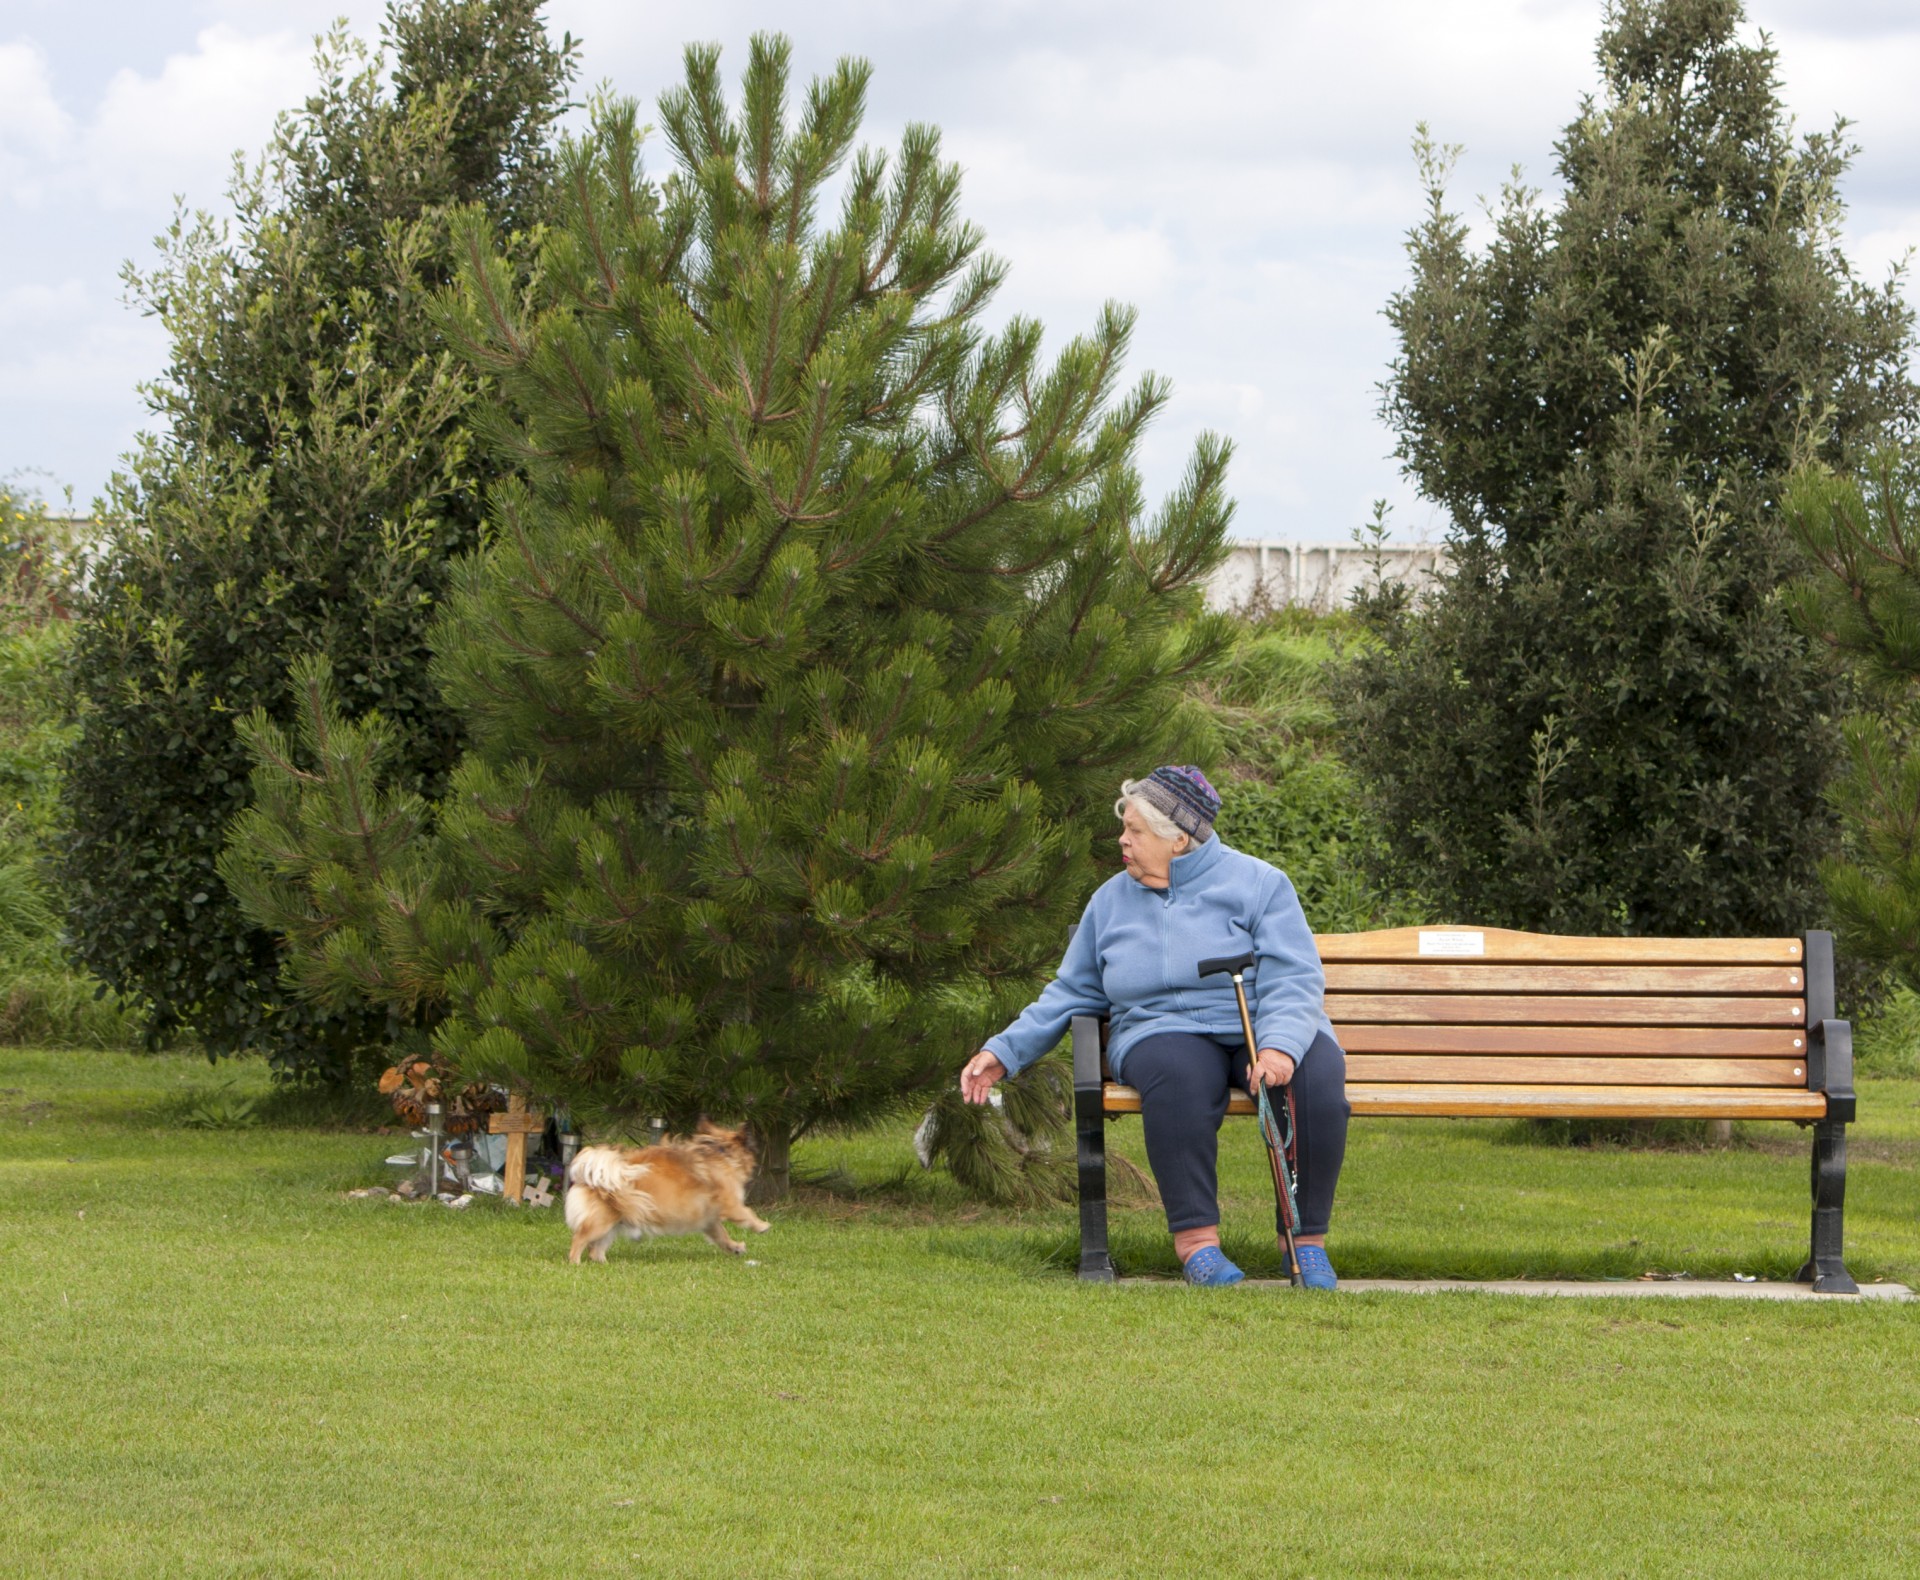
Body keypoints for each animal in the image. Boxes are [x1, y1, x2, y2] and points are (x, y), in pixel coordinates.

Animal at [560, 1121, 768, 1267]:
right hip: (601, 1221)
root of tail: (588, 1176)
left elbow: (721, 1235)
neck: (721, 1151)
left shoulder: (709, 1219)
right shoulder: (730, 1204)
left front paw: (735, 1247)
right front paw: (762, 1226)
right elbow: (746, 1214)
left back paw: (605, 1264)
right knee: (579, 1238)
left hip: (614, 1222)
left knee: (595, 1250)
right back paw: (575, 1263)